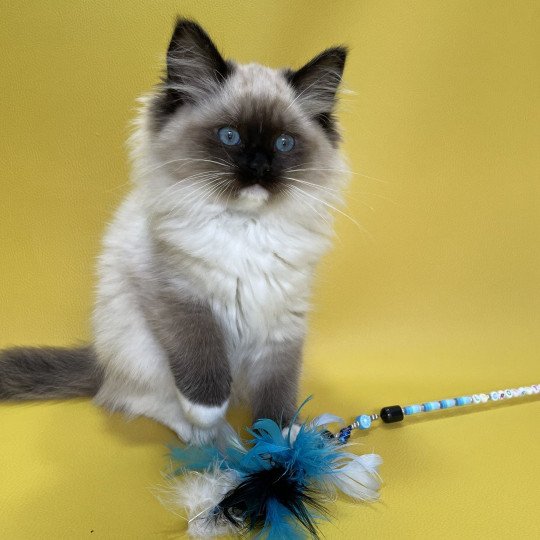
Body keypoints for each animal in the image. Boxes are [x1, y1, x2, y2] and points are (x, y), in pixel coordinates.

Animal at [0, 20, 350, 442]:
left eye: (284, 143)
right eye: (229, 136)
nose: (258, 168)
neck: (244, 228)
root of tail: (99, 360)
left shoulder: (282, 317)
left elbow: (278, 389)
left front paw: (285, 442)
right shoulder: (178, 294)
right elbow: (200, 355)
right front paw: (209, 412)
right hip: (139, 348)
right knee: (133, 398)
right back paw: (208, 435)